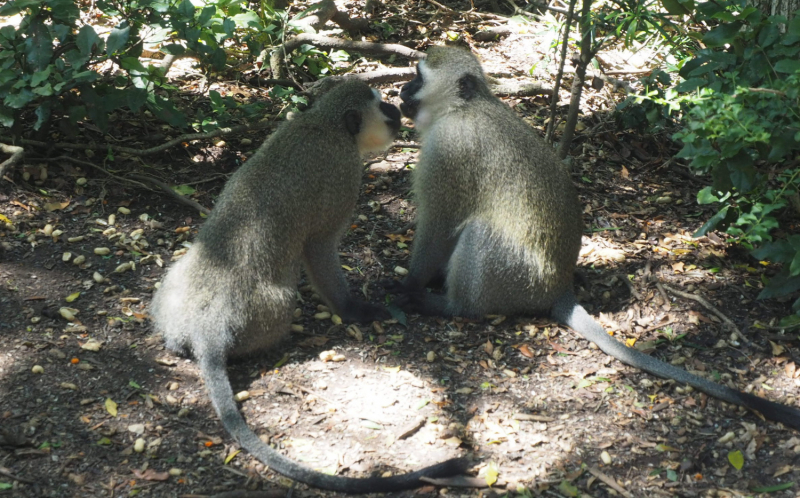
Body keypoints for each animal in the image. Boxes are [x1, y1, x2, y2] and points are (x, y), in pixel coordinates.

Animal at [149, 80, 466, 490]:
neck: (324, 123)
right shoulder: (344, 173)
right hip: (268, 312)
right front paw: (353, 310)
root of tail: (207, 327)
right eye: (383, 109)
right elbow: (319, 245)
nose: (397, 110)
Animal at [392, 47, 800, 432]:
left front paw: (409, 286)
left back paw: (451, 306)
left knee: (479, 236)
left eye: (418, 77)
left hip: (515, 276)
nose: (402, 89)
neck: (463, 109)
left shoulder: (448, 151)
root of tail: (558, 287)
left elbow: (438, 226)